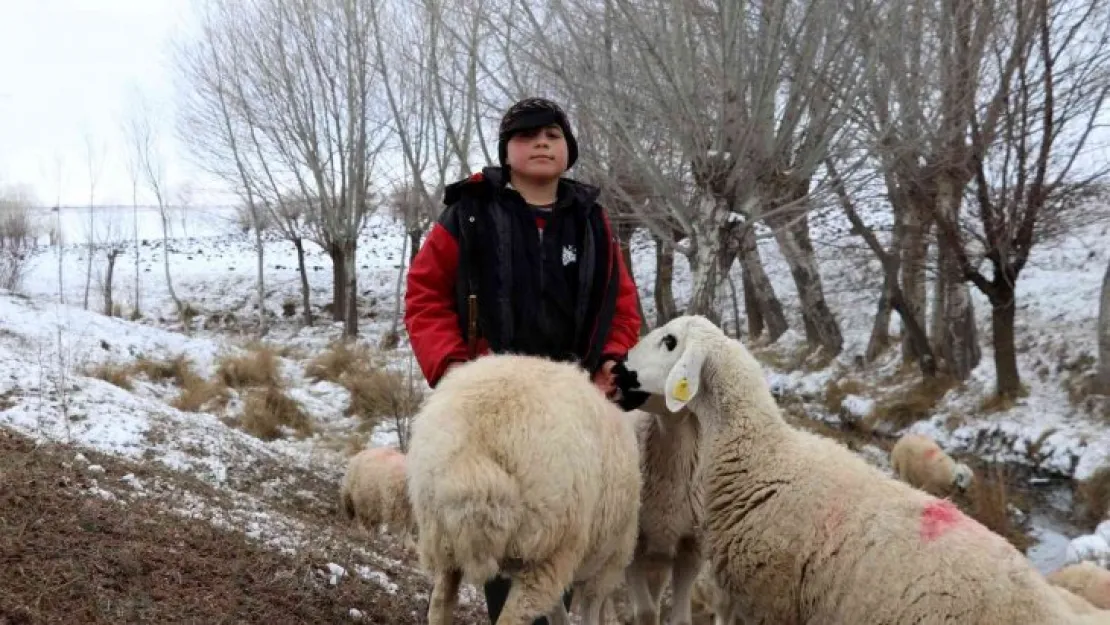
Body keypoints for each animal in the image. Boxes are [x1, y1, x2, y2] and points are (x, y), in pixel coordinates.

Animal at [406, 355, 643, 621]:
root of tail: (477, 441)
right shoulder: (609, 565)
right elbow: (589, 613)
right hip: (547, 552)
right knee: (512, 616)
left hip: (440, 540)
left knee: (439, 604)